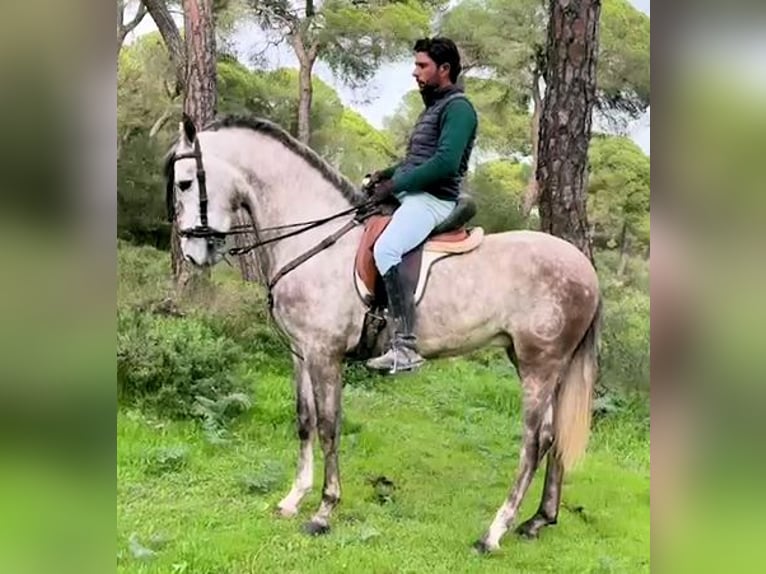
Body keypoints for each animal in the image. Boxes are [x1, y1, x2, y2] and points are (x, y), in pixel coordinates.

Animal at [164, 113, 601, 553]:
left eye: (185, 183)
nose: (193, 254)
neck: (316, 242)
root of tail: (585, 269)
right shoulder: (301, 352)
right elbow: (305, 421)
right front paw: (293, 500)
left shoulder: (324, 354)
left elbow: (329, 426)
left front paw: (323, 511)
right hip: (545, 366)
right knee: (554, 437)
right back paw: (538, 520)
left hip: (538, 366)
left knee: (534, 442)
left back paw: (494, 533)